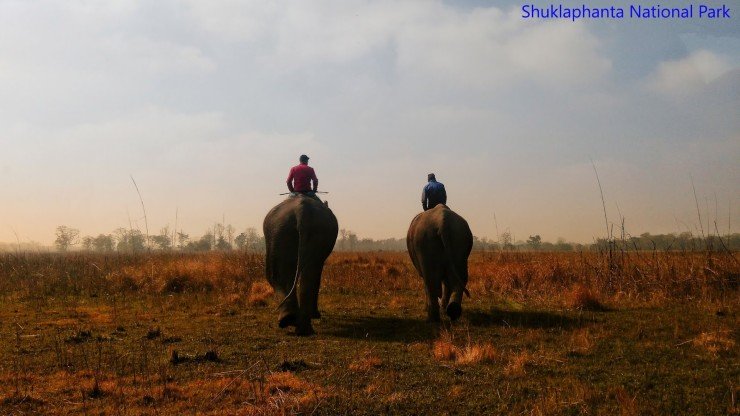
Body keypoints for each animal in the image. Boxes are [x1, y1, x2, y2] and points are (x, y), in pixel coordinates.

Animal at [264, 194, 338, 334]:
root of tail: (302, 211)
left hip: (280, 232)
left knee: (281, 274)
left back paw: (292, 322)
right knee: (309, 273)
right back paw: (301, 327)